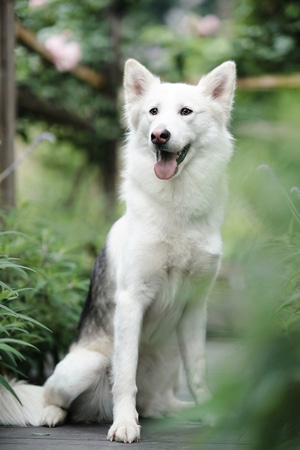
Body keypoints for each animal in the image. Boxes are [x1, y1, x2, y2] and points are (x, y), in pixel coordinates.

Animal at [0, 59, 236, 442]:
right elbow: (125, 377)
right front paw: (125, 424)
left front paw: (212, 412)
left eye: (185, 112)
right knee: (53, 397)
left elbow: (199, 370)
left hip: (170, 362)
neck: (176, 209)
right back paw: (54, 414)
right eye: (153, 112)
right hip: (86, 365)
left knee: (158, 403)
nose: (159, 135)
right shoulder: (131, 300)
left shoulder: (195, 307)